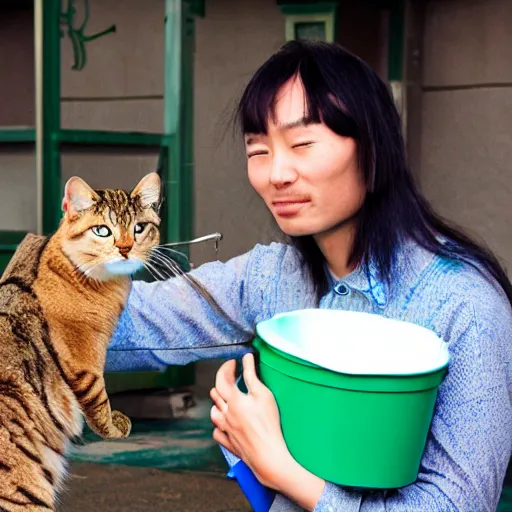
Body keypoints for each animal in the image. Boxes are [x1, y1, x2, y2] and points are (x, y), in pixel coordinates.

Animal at [0, 171, 162, 508]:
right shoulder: (83, 363)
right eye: (102, 231)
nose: (126, 248)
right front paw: (115, 426)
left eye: (139, 228)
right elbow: (98, 400)